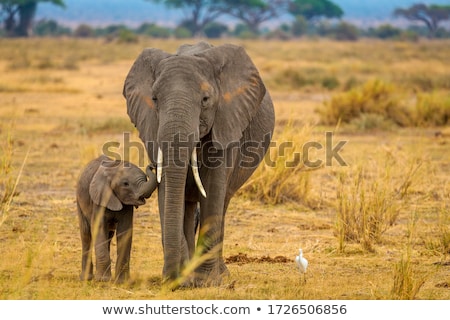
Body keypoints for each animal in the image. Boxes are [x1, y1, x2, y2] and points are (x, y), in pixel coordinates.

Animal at [123, 40, 276, 288]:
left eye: (205, 100)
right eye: (154, 99)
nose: (172, 279)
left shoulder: (226, 124)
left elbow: (212, 190)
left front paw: (208, 281)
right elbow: (168, 190)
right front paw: (184, 279)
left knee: (222, 202)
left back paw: (221, 275)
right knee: (187, 203)